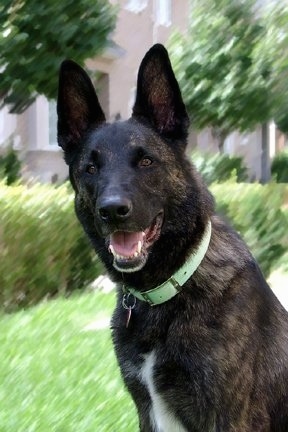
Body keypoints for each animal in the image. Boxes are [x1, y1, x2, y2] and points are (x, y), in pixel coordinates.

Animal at [56, 44, 288, 432]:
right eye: (90, 168)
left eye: (146, 161)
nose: (112, 210)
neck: (171, 286)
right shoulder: (147, 411)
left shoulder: (228, 418)